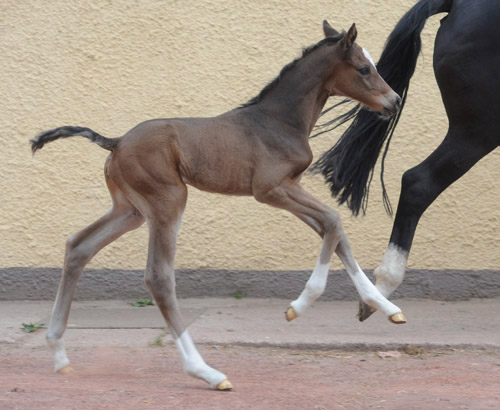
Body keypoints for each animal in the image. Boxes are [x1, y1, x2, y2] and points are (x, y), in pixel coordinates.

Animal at [31, 20, 404, 390]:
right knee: (158, 276)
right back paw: (206, 372)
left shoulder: (290, 186)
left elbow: (334, 230)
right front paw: (299, 305)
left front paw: (382, 306)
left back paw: (59, 354)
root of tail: (116, 142)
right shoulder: (270, 189)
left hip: (131, 210)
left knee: (79, 246)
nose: (395, 101)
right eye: (364, 68)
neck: (279, 120)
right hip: (168, 201)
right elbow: (333, 220)